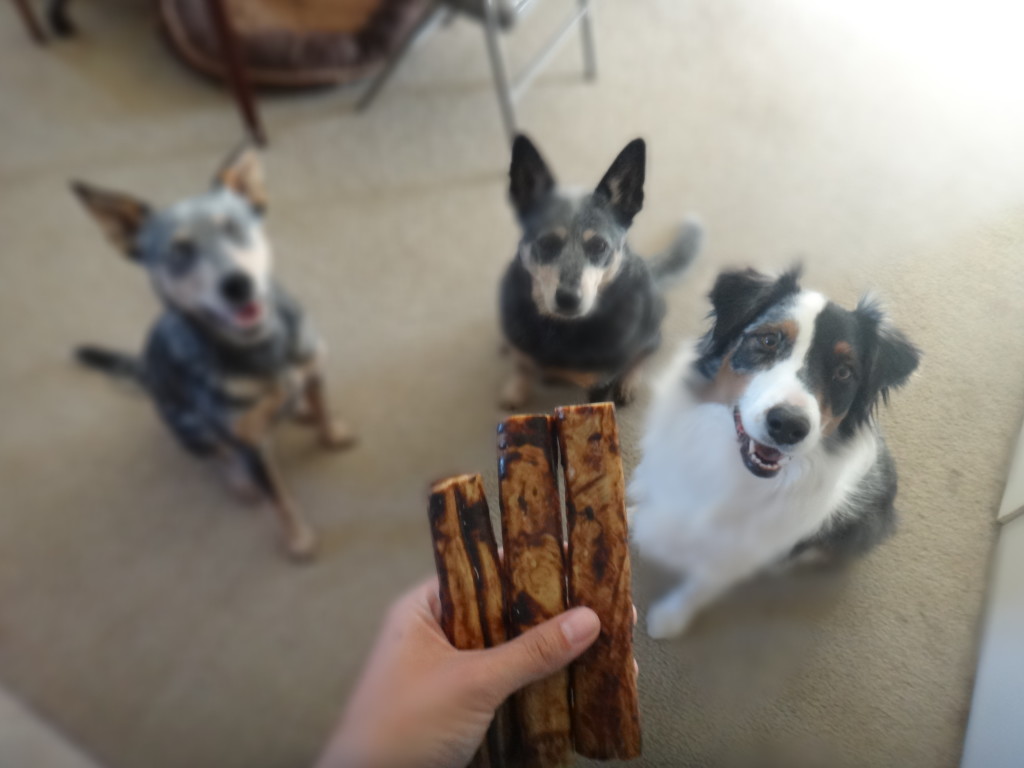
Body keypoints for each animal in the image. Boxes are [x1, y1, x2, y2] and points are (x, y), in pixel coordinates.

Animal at [71, 147, 352, 561]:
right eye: (178, 251)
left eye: (234, 228)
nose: (237, 284)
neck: (264, 348)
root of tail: (145, 372)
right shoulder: (248, 443)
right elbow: (277, 497)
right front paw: (298, 539)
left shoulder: (314, 368)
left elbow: (324, 407)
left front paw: (331, 433)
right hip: (187, 426)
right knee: (217, 455)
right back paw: (239, 480)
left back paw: (298, 409)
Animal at [497, 134, 704, 409]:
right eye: (546, 243)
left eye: (599, 246)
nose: (568, 299)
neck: (559, 329)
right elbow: (522, 365)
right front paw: (516, 389)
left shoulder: (599, 384)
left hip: (652, 325)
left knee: (644, 352)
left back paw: (629, 381)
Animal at [630, 268, 921, 638]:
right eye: (769, 341)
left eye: (844, 372)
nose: (788, 426)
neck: (728, 464)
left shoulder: (738, 552)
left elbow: (702, 584)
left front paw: (669, 618)